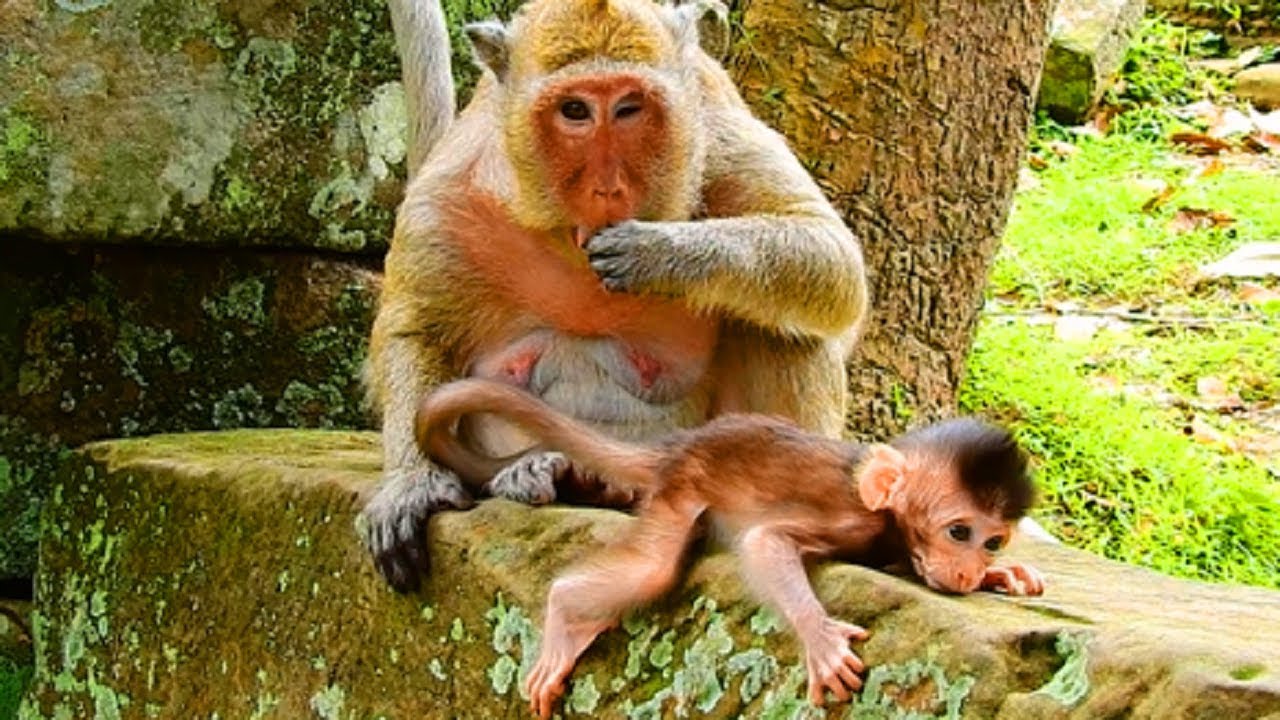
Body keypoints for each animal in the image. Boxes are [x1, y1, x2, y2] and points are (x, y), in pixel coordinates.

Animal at [362, 0, 868, 592]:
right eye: (575, 110)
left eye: (628, 109)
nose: (607, 187)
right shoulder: (450, 194)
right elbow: (416, 330)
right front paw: (412, 485)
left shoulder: (715, 131)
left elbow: (830, 258)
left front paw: (661, 252)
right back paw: (547, 474)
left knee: (783, 327)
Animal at [413, 378, 1043, 717]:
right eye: (958, 532)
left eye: (992, 540)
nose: (967, 573)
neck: (884, 509)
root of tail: (681, 444)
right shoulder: (852, 522)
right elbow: (766, 542)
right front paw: (820, 638)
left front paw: (1006, 576)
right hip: (682, 492)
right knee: (651, 569)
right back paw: (566, 614)